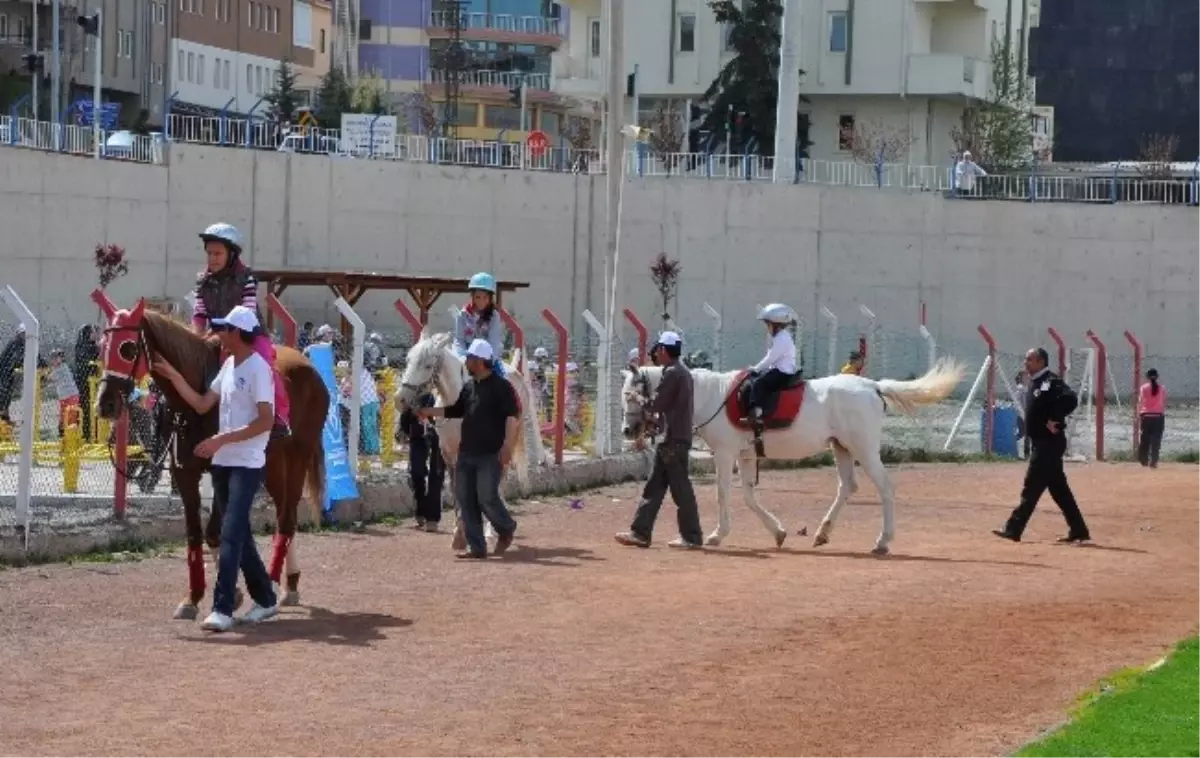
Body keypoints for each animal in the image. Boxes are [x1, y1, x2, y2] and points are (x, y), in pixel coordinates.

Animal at [94, 298, 328, 618]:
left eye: (127, 348)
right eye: (102, 345)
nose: (105, 404)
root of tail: (309, 368)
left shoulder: (222, 471)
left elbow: (215, 532)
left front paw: (234, 592)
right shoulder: (184, 473)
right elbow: (194, 533)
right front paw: (192, 597)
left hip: (298, 456)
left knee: (287, 517)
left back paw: (272, 581)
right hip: (271, 466)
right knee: (285, 513)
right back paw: (290, 583)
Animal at [619, 357, 964, 554]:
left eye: (634, 394)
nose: (627, 430)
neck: (711, 396)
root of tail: (873, 386)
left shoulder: (725, 453)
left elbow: (723, 494)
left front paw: (717, 535)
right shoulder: (746, 455)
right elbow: (749, 496)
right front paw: (779, 532)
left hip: (864, 449)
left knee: (885, 488)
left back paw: (882, 542)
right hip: (841, 447)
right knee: (847, 487)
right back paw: (823, 533)